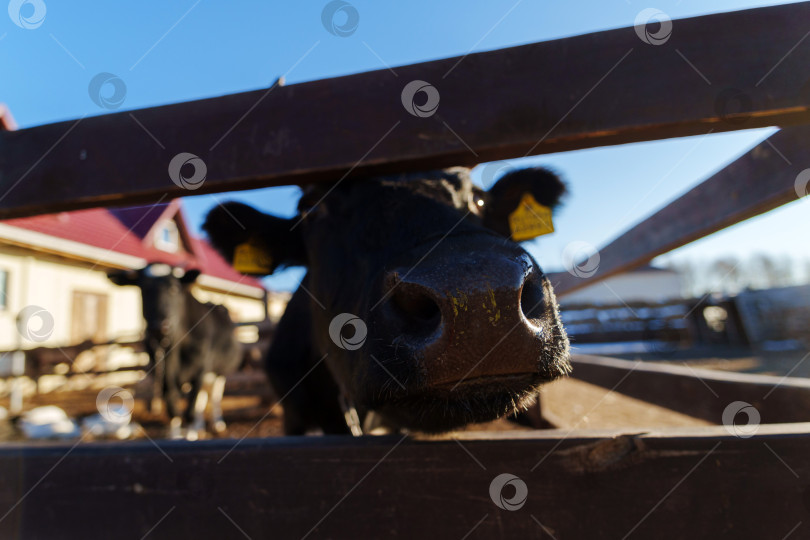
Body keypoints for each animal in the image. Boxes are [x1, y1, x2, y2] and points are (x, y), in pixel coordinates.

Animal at [107, 264, 243, 439]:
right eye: (144, 289)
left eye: (173, 288)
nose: (159, 327)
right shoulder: (164, 376)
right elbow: (173, 410)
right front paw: (176, 437)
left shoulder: (200, 370)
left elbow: (190, 411)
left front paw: (190, 437)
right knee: (202, 399)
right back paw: (200, 426)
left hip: (220, 371)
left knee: (214, 396)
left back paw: (217, 423)